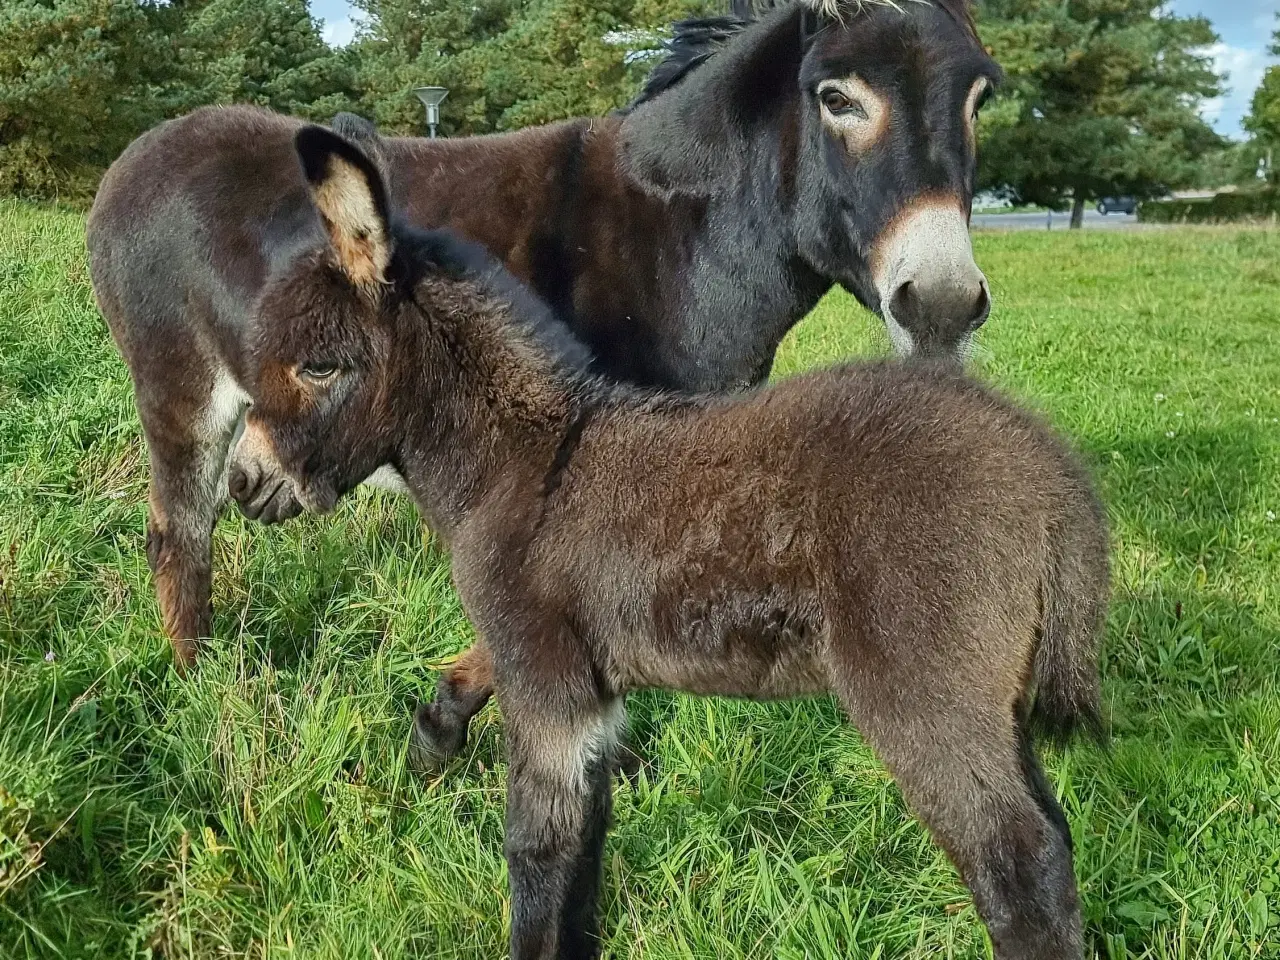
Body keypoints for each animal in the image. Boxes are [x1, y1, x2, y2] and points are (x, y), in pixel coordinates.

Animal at [249, 126, 1111, 960]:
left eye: (318, 367)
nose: (246, 485)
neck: (526, 461)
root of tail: (1049, 468)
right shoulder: (588, 692)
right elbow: (584, 843)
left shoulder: (546, 683)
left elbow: (536, 850)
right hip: (996, 698)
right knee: (1054, 836)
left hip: (926, 693)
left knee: (1019, 864)